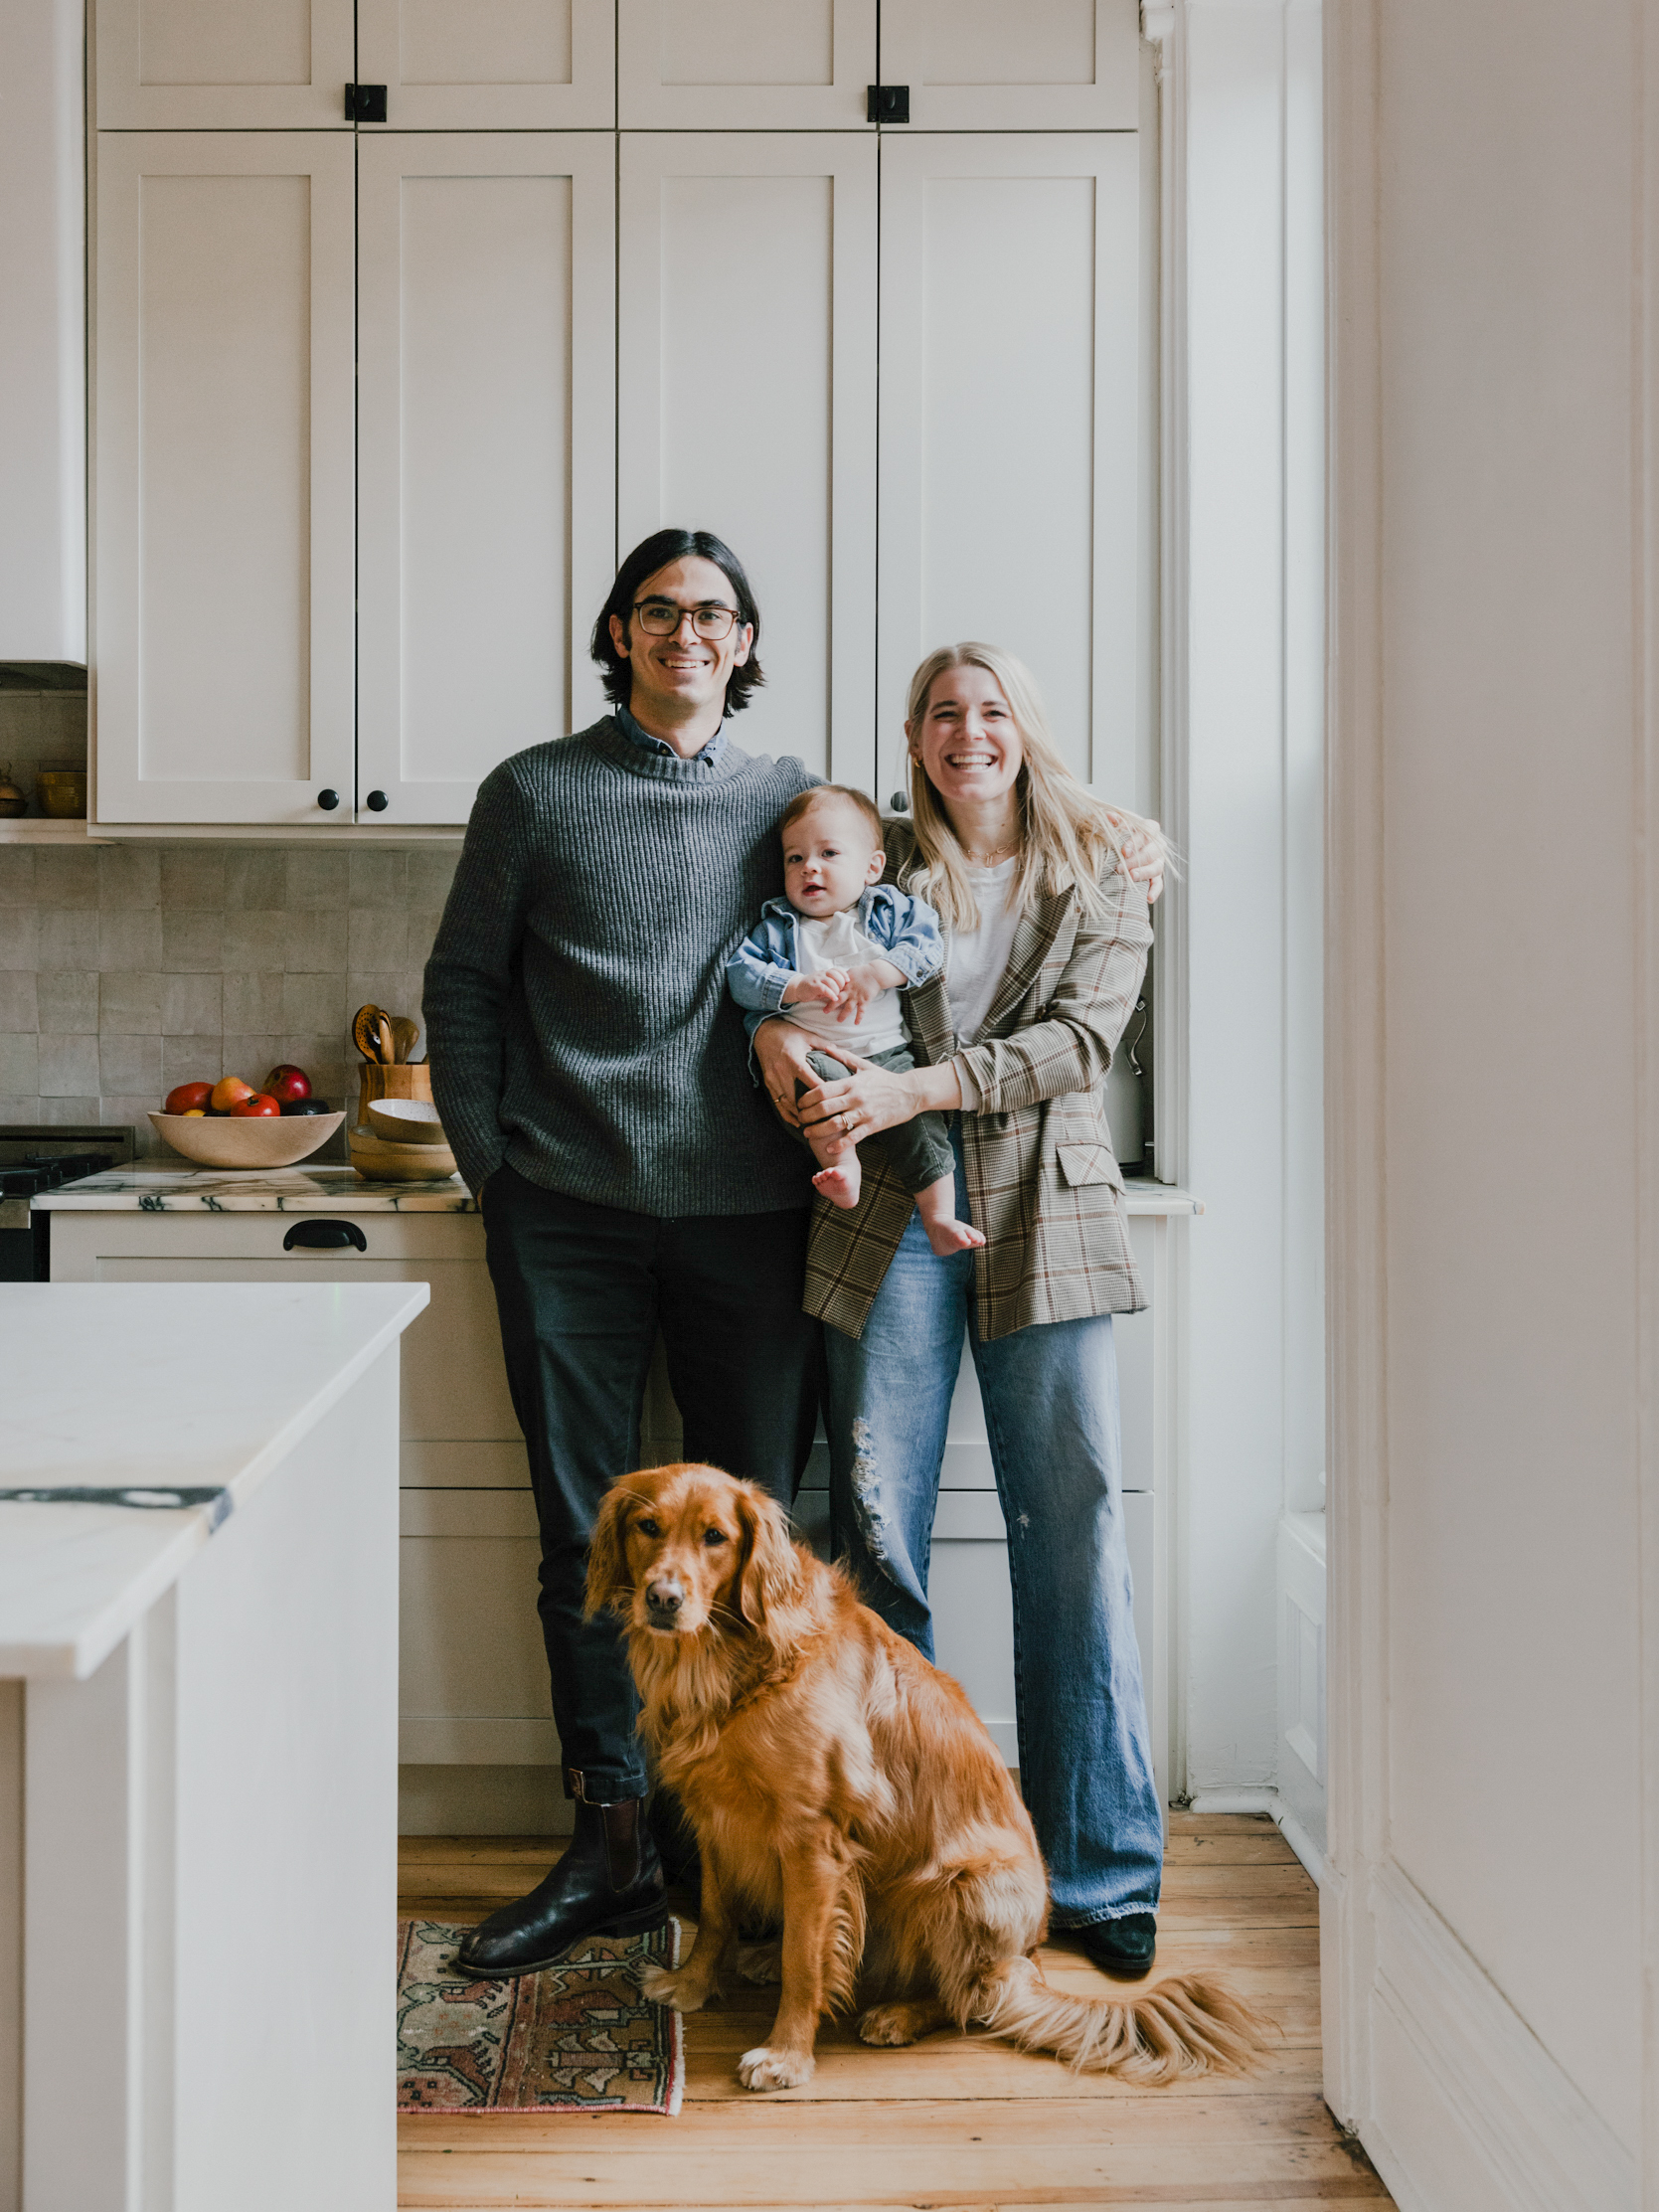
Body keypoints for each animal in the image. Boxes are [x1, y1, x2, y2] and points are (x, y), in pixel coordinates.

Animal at [587, 1459, 1273, 2097]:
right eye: (649, 1527)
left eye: (715, 1537)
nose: (663, 1599)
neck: (735, 1662)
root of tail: (1029, 1956)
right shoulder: (715, 1817)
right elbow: (714, 1915)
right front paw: (690, 1985)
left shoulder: (813, 1839)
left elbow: (806, 1961)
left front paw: (786, 2055)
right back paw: (766, 1961)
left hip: (958, 1886)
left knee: (973, 1998)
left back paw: (898, 2015)